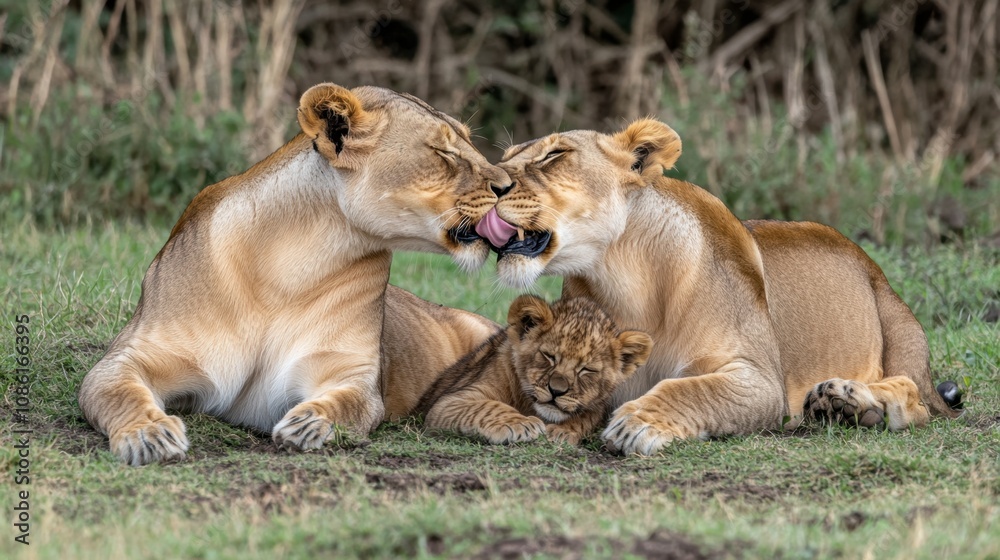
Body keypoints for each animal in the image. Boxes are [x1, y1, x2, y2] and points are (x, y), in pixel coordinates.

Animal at [78, 83, 511, 465]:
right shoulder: (130, 356)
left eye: (467, 141)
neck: (291, 270)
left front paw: (310, 425)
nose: (509, 185)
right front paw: (149, 435)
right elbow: (120, 392)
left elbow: (349, 404)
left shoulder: (350, 373)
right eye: (442, 150)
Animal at [414, 295, 653, 445]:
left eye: (586, 369)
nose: (556, 391)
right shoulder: (449, 402)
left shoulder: (597, 407)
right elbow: (487, 407)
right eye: (548, 356)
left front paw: (561, 431)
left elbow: (585, 417)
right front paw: (519, 423)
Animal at [479, 118, 961, 456]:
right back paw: (836, 405)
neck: (623, 278)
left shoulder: (761, 380)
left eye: (555, 154)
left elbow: (690, 388)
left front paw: (638, 423)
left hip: (899, 331)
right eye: (508, 154)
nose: (490, 182)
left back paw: (850, 399)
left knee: (916, 399)